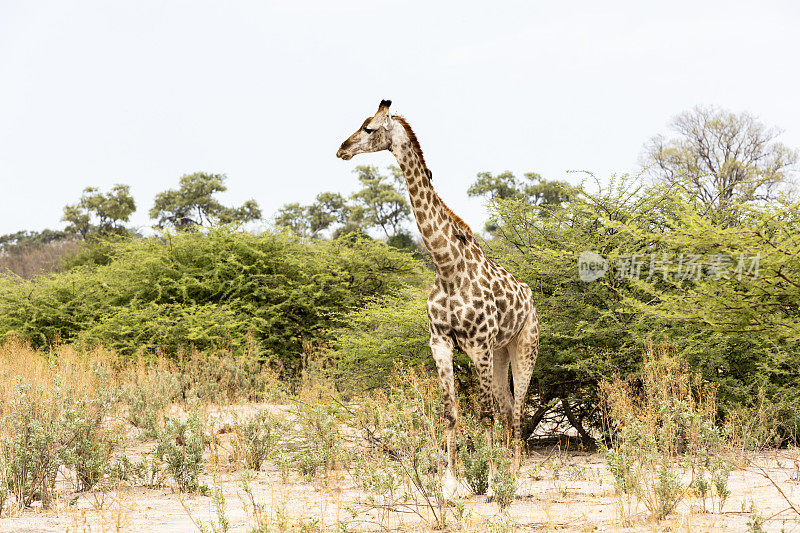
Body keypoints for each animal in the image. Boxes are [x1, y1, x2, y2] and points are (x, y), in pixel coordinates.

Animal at [334, 101, 540, 498]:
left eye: (369, 128)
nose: (341, 149)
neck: (446, 266)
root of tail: (531, 298)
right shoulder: (440, 343)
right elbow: (450, 413)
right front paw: (450, 484)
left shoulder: (478, 345)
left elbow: (485, 413)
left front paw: (489, 485)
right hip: (501, 351)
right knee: (509, 408)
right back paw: (508, 472)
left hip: (525, 345)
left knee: (518, 408)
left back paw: (513, 477)